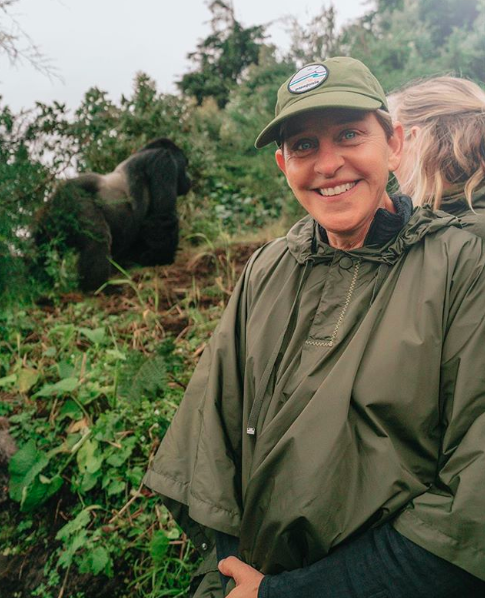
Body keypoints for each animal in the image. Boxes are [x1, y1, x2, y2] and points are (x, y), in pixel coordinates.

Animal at [35, 138, 191, 292]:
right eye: (185, 166)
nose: (189, 179)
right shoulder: (163, 161)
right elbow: (163, 218)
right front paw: (161, 259)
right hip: (74, 199)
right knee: (98, 237)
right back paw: (97, 287)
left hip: (51, 214)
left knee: (44, 245)